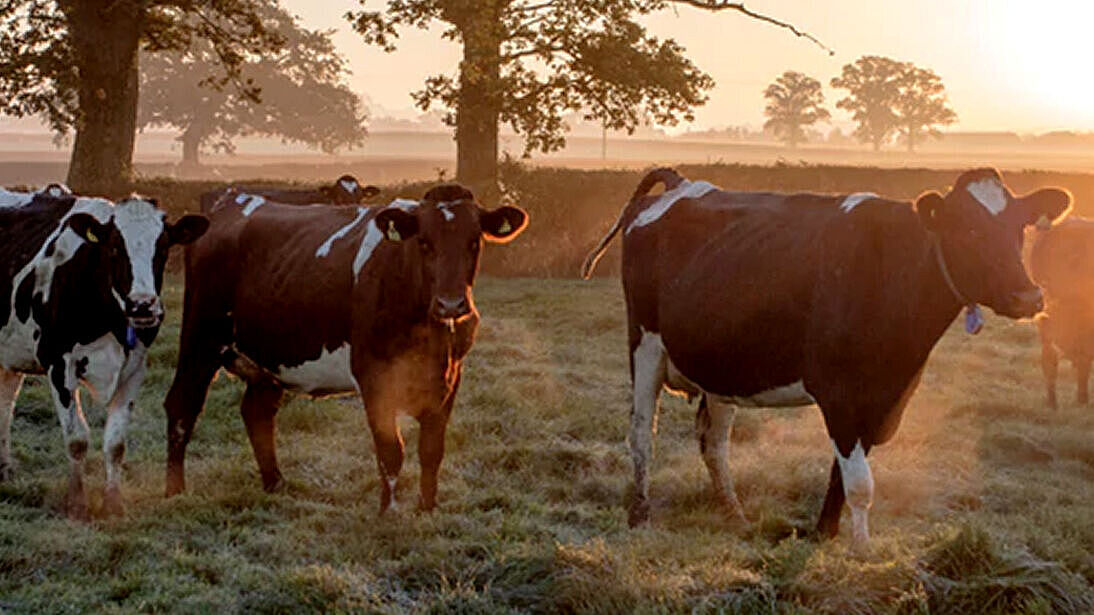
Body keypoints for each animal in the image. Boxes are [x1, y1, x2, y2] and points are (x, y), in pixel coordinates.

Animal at [0, 187, 206, 516]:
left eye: (163, 248)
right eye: (115, 248)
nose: (142, 305)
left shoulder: (135, 367)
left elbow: (116, 442)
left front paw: (113, 502)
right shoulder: (58, 363)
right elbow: (77, 439)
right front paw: (77, 503)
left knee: (5, 404)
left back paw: (5, 470)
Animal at [161, 183, 529, 509]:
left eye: (474, 242)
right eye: (424, 242)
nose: (451, 304)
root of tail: (230, 200)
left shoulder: (450, 376)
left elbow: (431, 450)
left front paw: (426, 509)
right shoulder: (374, 376)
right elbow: (391, 450)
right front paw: (389, 512)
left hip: (268, 356)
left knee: (257, 412)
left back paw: (275, 483)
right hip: (201, 335)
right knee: (182, 405)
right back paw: (175, 492)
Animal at [586, 166, 1072, 544]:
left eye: (1019, 229)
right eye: (968, 230)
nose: (1029, 296)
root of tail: (684, 183)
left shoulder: (882, 398)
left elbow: (843, 473)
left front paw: (826, 533)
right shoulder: (838, 392)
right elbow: (860, 483)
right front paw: (862, 553)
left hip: (722, 365)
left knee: (713, 442)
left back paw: (734, 514)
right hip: (645, 344)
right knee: (641, 433)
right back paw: (640, 514)